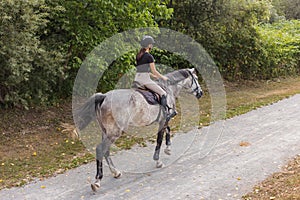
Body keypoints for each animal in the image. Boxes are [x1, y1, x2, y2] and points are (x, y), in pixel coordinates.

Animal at [74, 68, 203, 191]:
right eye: (196, 78)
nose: (200, 93)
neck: (168, 88)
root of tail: (104, 96)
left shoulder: (163, 120)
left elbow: (168, 130)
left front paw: (168, 149)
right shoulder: (163, 120)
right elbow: (159, 139)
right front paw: (158, 161)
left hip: (106, 131)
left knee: (106, 151)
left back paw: (115, 172)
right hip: (114, 132)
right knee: (100, 149)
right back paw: (97, 181)